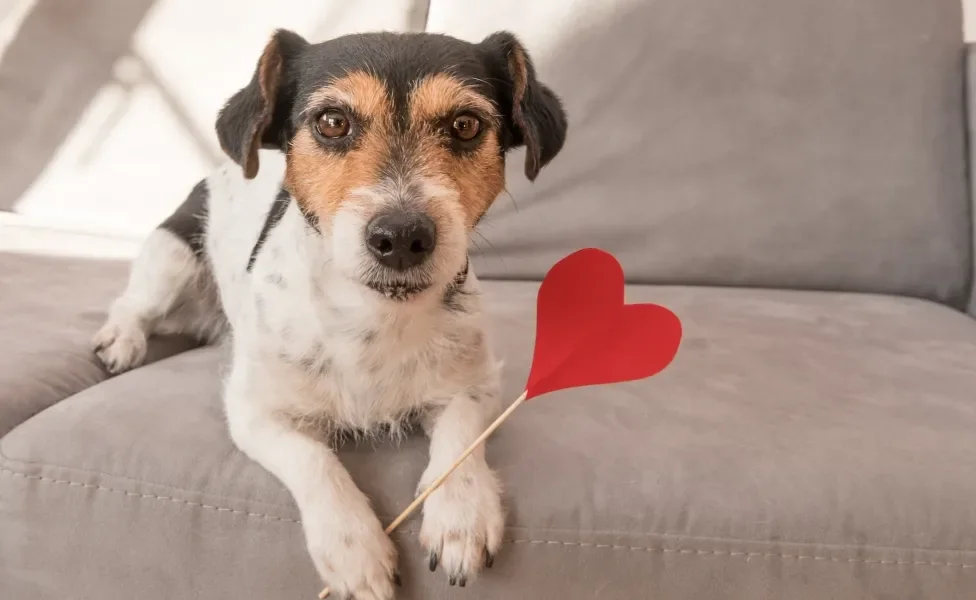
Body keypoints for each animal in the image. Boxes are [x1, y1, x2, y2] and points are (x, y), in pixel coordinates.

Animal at [90, 29, 568, 600]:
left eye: (465, 125)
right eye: (332, 121)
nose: (401, 237)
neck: (373, 315)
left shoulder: (476, 385)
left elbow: (459, 435)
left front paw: (461, 514)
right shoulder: (255, 413)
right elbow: (315, 460)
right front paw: (355, 551)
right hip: (173, 255)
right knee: (134, 302)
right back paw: (121, 340)